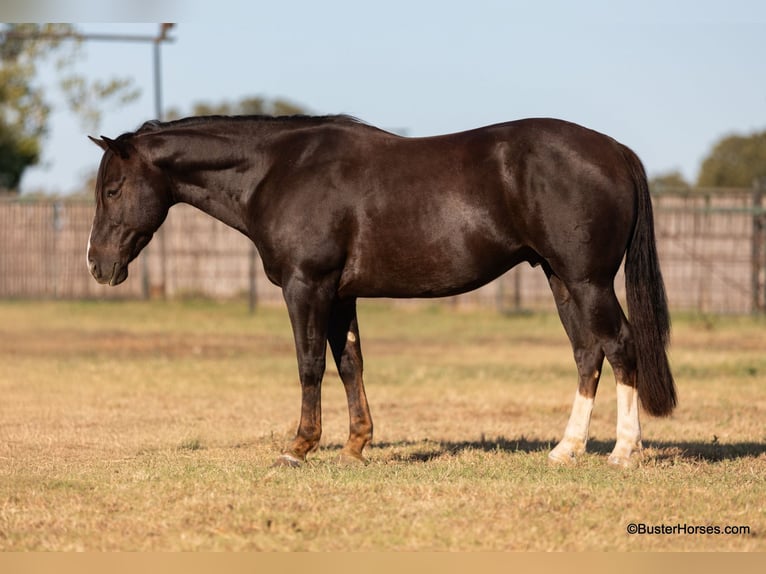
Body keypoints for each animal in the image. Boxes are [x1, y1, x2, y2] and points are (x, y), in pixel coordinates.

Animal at [86, 114, 676, 468]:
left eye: (112, 190)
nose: (97, 264)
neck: (279, 171)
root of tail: (614, 150)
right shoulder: (340, 295)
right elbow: (351, 364)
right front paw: (355, 446)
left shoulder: (307, 286)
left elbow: (309, 364)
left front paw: (299, 448)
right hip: (561, 281)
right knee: (587, 354)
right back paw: (565, 449)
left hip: (587, 282)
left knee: (620, 346)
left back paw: (623, 451)